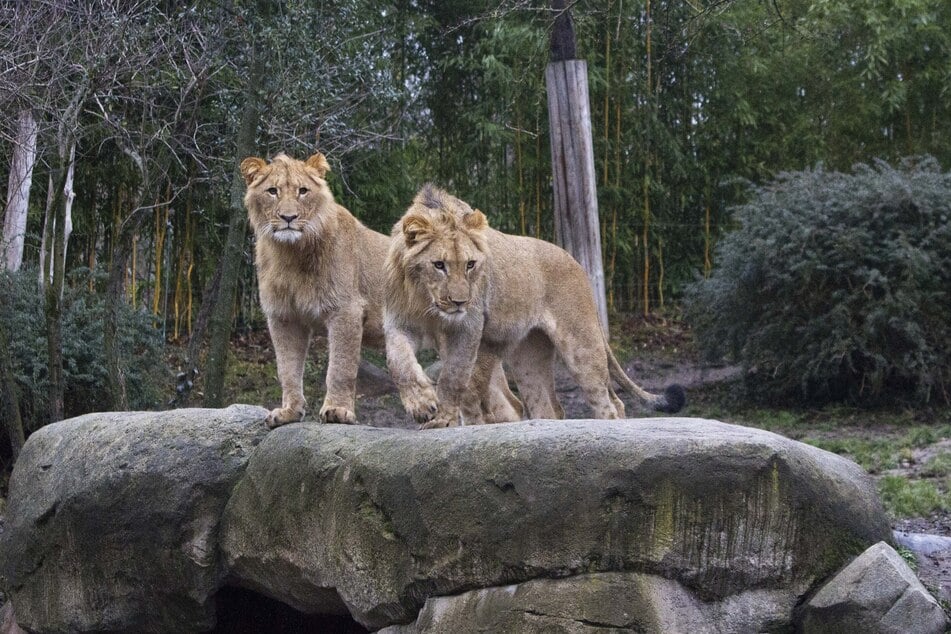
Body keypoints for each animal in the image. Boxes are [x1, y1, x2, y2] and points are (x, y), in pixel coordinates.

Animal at [238, 155, 520, 428]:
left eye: (303, 191)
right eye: (272, 191)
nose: (289, 218)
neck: (289, 254)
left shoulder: (346, 309)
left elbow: (340, 366)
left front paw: (337, 411)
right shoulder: (283, 317)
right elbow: (287, 369)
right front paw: (289, 412)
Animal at [384, 185, 688, 428]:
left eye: (470, 264)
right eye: (439, 265)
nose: (460, 302)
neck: (425, 299)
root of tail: (577, 263)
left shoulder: (469, 326)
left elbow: (455, 376)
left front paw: (444, 418)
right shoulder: (400, 322)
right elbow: (399, 363)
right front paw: (421, 405)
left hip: (581, 345)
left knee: (611, 403)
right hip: (528, 356)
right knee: (547, 407)